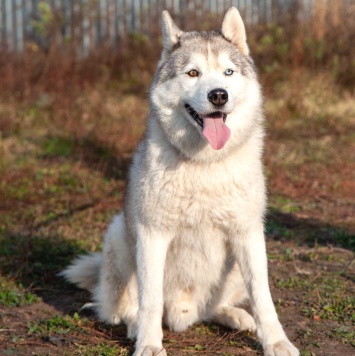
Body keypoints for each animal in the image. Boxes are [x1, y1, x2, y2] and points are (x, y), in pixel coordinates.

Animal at [61, 6, 300, 354]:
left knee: (213, 308)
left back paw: (237, 316)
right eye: (192, 73)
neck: (204, 164)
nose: (218, 95)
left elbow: (263, 298)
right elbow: (149, 300)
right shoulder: (152, 235)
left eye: (228, 72)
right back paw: (135, 326)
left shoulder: (248, 233)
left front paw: (277, 342)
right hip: (120, 236)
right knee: (127, 308)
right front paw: (149, 344)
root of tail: (183, 313)